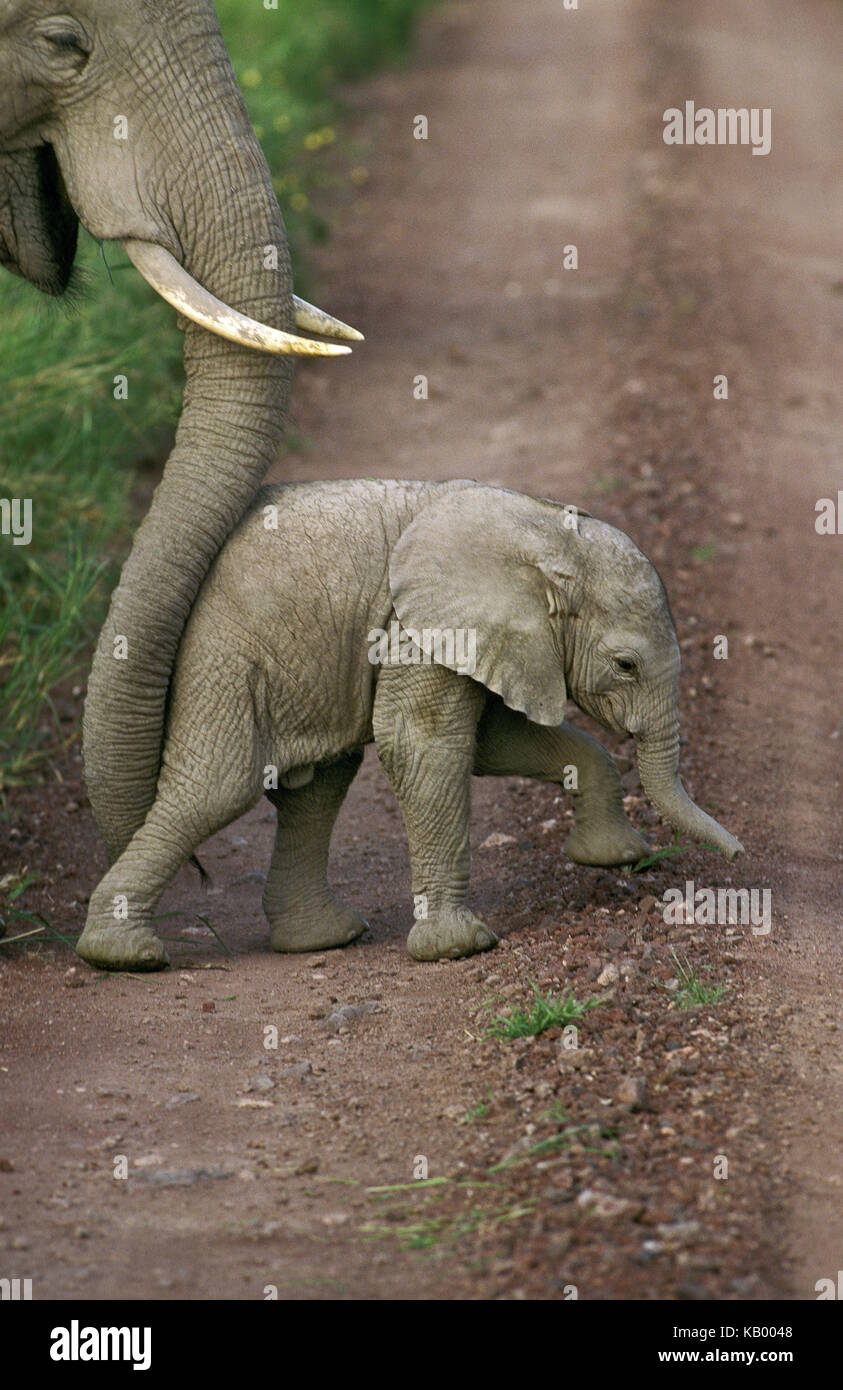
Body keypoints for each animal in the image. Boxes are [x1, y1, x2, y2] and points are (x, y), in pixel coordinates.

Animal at [75, 483, 745, 973]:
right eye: (626, 666)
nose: (739, 854)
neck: (545, 528)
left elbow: (491, 743)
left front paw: (613, 857)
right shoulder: (419, 622)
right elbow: (423, 743)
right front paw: (461, 948)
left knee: (317, 788)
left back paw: (324, 938)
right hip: (224, 655)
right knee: (218, 789)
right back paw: (122, 956)